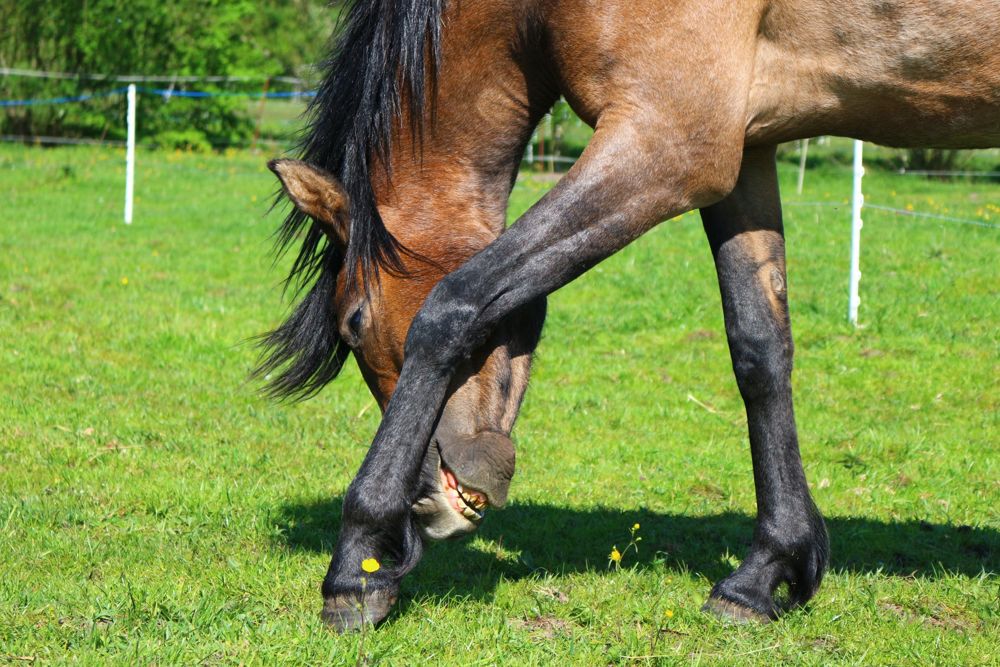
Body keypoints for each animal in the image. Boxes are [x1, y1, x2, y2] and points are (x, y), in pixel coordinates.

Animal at [258, 0, 1000, 631]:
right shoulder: (744, 150)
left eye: (354, 321)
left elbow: (452, 307)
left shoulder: (668, 145)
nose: (425, 503)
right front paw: (766, 572)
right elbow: (759, 348)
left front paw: (357, 566)